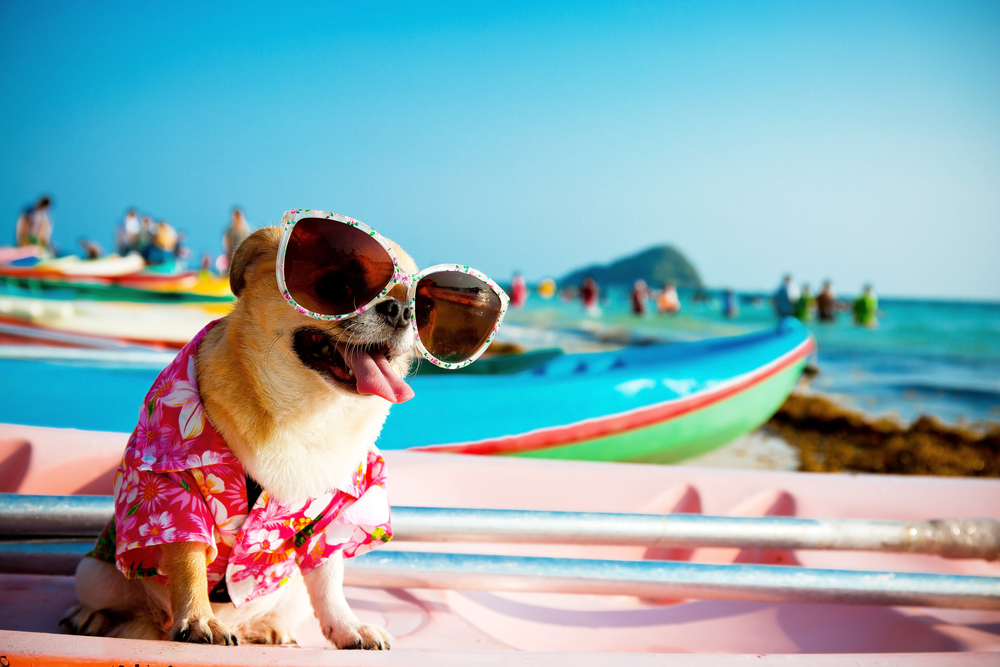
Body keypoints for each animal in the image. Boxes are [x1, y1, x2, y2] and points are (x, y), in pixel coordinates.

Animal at [59, 227, 418, 648]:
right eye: (335, 284)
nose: (401, 310)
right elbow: (189, 561)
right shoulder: (173, 493)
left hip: (291, 594)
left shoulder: (335, 518)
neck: (307, 414)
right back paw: (92, 616)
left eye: (420, 304)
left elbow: (329, 581)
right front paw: (198, 618)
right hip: (95, 575)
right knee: (111, 602)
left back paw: (268, 629)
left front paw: (348, 627)